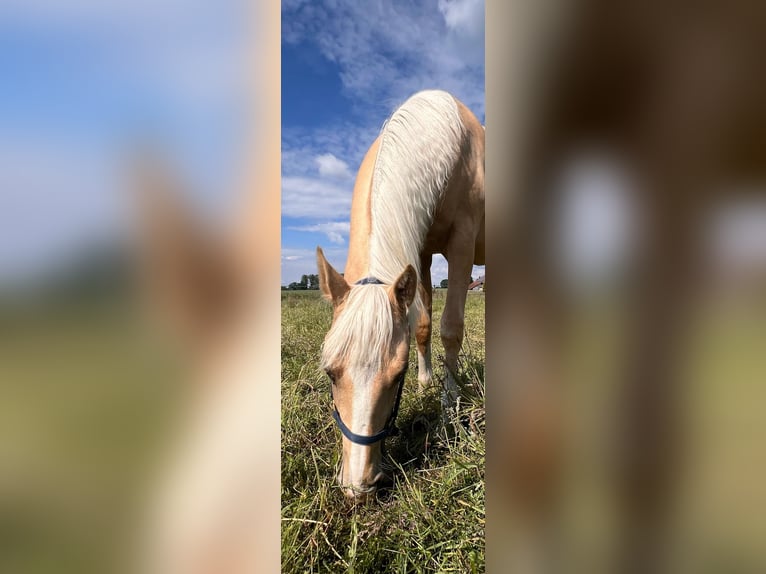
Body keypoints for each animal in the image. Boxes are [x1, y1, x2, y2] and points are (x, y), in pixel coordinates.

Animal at [318, 89, 486, 500]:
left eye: (397, 375)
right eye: (330, 373)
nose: (359, 486)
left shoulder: (461, 243)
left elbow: (450, 329)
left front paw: (449, 408)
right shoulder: (421, 252)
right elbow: (422, 323)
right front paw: (427, 383)